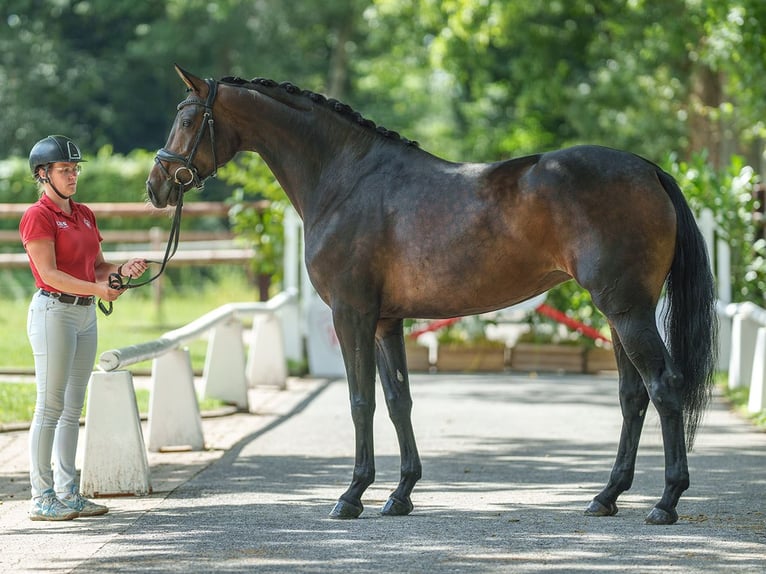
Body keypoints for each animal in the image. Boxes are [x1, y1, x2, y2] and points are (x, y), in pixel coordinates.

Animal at [148, 66, 720, 528]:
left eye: (189, 118)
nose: (157, 186)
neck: (345, 179)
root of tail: (649, 169)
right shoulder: (386, 321)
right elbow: (398, 400)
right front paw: (400, 494)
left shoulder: (351, 315)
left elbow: (360, 400)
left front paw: (351, 495)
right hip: (619, 313)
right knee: (633, 397)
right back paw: (605, 497)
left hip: (627, 311)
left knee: (664, 387)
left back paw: (665, 503)